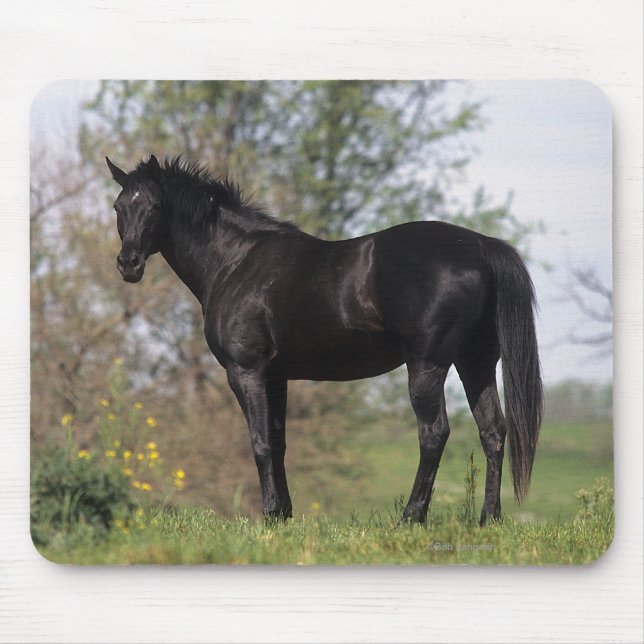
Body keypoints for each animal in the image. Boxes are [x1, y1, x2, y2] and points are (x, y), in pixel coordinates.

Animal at [106, 154, 543, 525]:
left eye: (155, 206)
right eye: (118, 207)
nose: (128, 264)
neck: (236, 262)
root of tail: (481, 247)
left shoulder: (246, 370)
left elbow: (260, 442)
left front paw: (269, 516)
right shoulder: (276, 375)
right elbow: (278, 442)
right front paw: (283, 515)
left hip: (428, 366)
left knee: (434, 434)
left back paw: (411, 517)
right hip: (476, 363)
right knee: (493, 432)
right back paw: (488, 519)